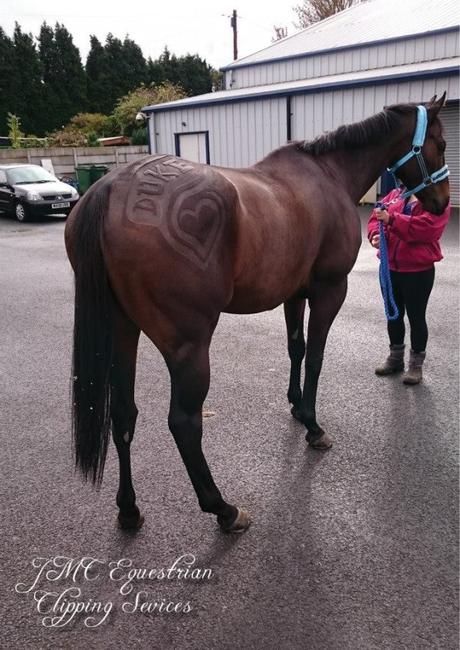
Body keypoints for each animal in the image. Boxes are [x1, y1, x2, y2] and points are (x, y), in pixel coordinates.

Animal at [64, 95, 450, 532]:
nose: (442, 203)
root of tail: (111, 187)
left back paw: (129, 508)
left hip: (123, 332)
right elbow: (316, 356)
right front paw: (313, 426)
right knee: (184, 423)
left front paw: (297, 407)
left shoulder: (294, 294)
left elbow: (296, 349)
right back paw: (222, 508)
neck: (328, 174)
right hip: (188, 346)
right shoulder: (330, 290)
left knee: (123, 415)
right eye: (441, 144)